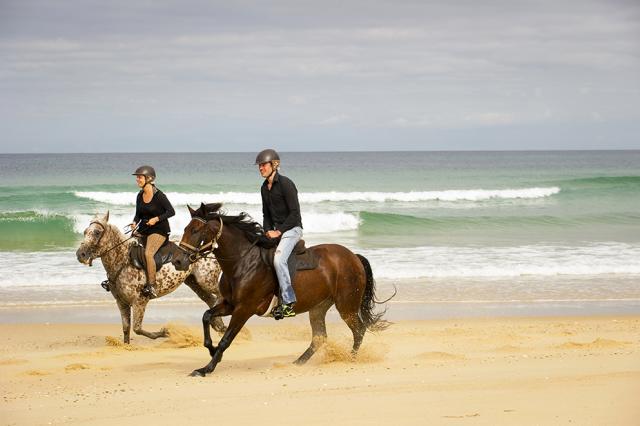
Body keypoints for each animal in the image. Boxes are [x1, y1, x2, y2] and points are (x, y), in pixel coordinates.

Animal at [78, 211, 225, 344]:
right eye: (85, 232)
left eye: (97, 232)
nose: (80, 254)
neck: (123, 260)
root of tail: (210, 247)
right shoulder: (121, 302)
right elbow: (126, 328)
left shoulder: (140, 301)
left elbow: (137, 328)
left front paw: (164, 332)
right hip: (193, 282)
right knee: (210, 299)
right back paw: (219, 326)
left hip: (206, 281)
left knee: (219, 296)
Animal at [171, 203, 390, 376]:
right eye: (186, 228)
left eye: (196, 230)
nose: (177, 261)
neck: (242, 261)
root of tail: (353, 256)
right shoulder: (229, 305)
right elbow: (207, 316)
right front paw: (210, 349)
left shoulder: (244, 309)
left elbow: (226, 339)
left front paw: (206, 368)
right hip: (318, 308)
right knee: (319, 337)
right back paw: (296, 363)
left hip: (346, 306)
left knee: (359, 330)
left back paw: (351, 359)